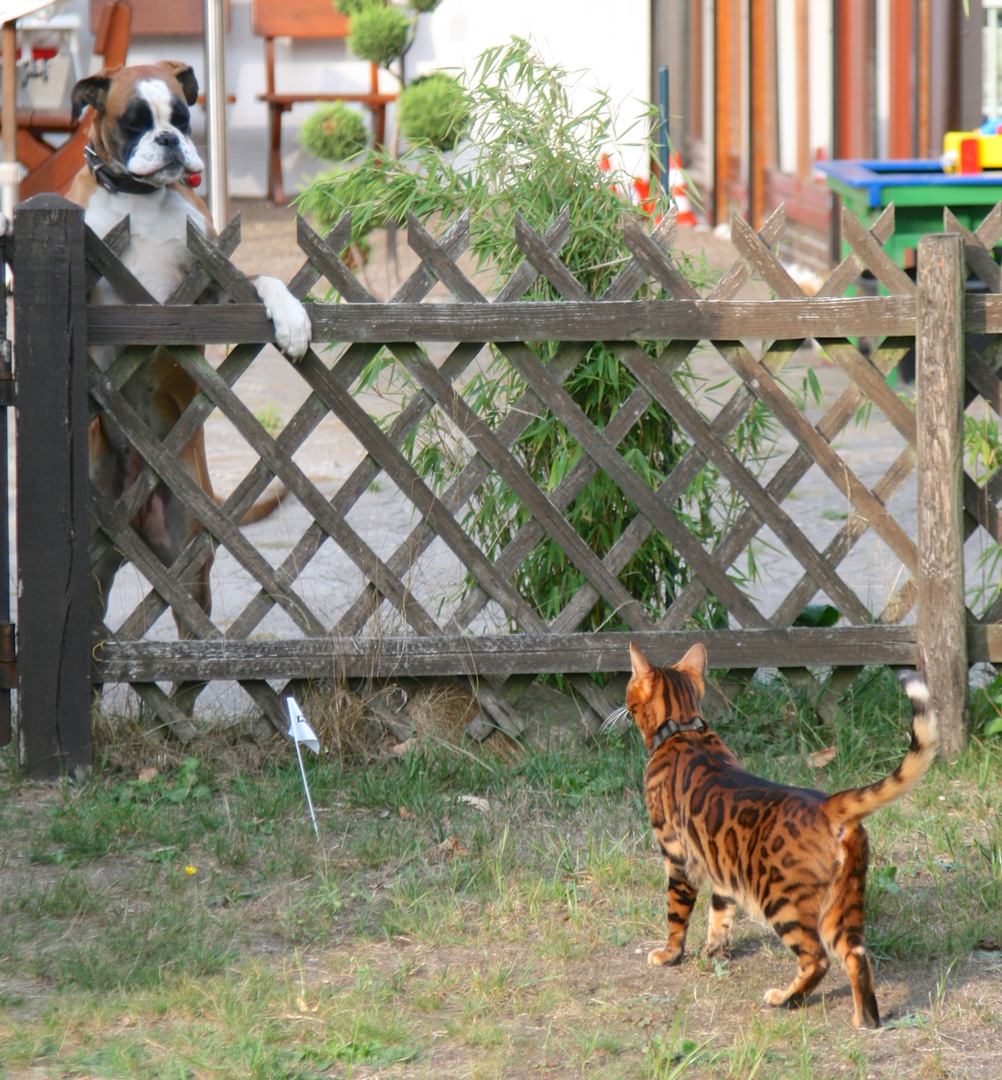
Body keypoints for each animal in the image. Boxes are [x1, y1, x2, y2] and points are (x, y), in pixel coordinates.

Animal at [67, 59, 308, 678]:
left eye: (181, 115)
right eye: (133, 121)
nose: (170, 140)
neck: (142, 200)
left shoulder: (214, 289)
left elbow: (262, 280)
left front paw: (291, 316)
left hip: (187, 561)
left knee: (190, 636)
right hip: (94, 568)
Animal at [617, 639, 941, 1028]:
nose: (622, 705)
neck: (683, 728)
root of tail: (826, 804)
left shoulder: (677, 858)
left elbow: (676, 915)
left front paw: (668, 955)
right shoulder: (722, 861)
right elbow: (720, 911)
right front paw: (715, 951)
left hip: (781, 899)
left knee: (817, 958)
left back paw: (785, 1000)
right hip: (844, 899)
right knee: (855, 954)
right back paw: (865, 1020)